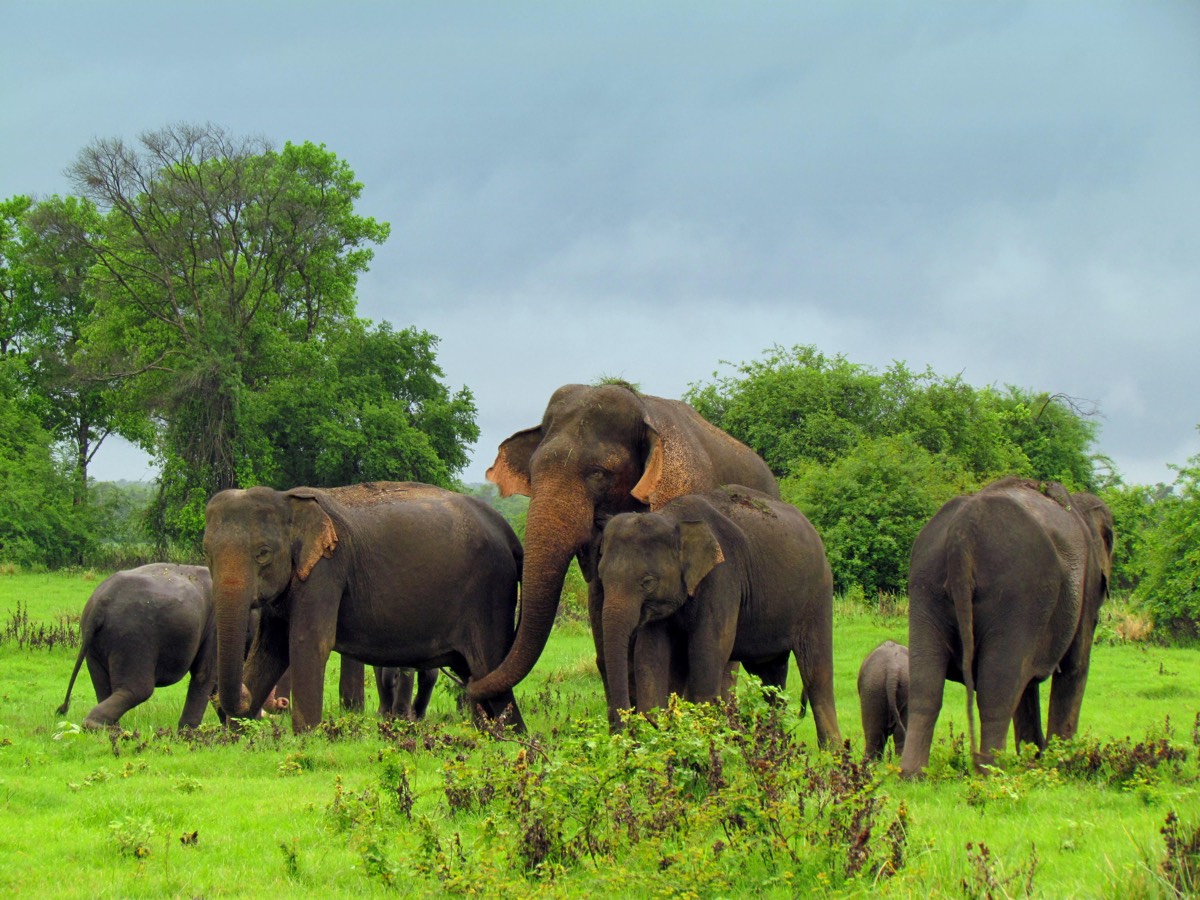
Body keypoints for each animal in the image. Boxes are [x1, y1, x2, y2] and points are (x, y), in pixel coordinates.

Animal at [59, 564, 218, 734]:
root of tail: (101, 602)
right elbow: (205, 674)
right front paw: (188, 734)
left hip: (96, 643)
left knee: (103, 685)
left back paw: (110, 730)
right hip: (134, 636)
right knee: (139, 690)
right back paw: (102, 727)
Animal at [202, 482, 525, 734]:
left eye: (263, 554)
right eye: (207, 552)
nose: (245, 696)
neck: (287, 499)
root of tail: (507, 530)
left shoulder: (327, 569)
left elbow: (309, 642)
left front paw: (306, 737)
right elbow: (271, 649)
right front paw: (236, 735)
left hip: (489, 595)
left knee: (489, 667)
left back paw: (513, 737)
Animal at [595, 487, 840, 748]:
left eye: (647, 582)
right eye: (601, 576)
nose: (624, 736)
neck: (672, 517)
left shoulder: (722, 578)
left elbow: (708, 652)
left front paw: (701, 742)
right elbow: (650, 656)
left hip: (818, 594)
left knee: (817, 672)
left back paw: (831, 751)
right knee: (770, 676)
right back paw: (773, 745)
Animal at [902, 475, 1113, 777]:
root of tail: (961, 535)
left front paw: (1036, 759)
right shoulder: (1089, 581)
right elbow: (1075, 667)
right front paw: (1061, 765)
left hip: (925, 584)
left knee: (925, 686)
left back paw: (913, 775)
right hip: (1017, 591)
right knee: (996, 690)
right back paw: (992, 772)